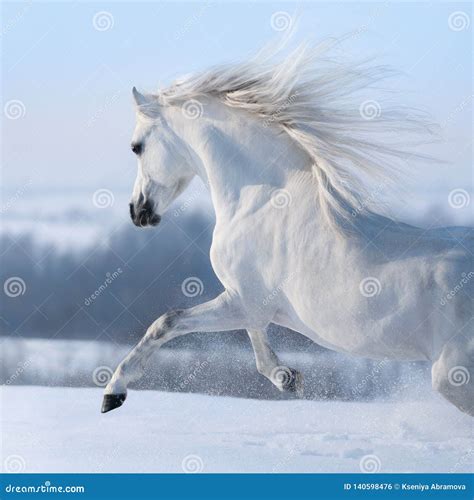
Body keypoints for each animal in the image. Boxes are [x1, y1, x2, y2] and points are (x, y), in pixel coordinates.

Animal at [102, 42, 472, 414]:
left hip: (452, 377)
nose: (138, 211)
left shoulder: (243, 302)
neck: (262, 200)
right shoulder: (250, 303)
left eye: (136, 147)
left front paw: (113, 392)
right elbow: (256, 342)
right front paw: (286, 377)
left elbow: (166, 322)